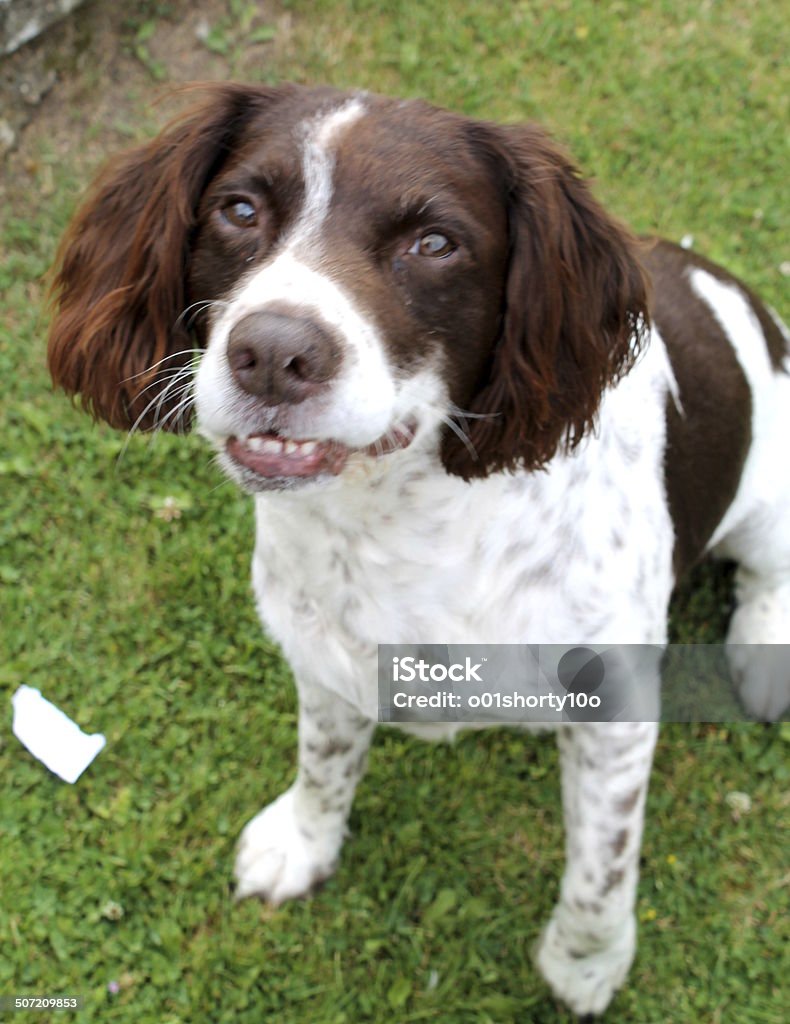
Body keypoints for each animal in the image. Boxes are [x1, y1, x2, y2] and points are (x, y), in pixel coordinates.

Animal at [49, 83, 790, 1011]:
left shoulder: (615, 708)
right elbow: (323, 763)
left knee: (768, 569)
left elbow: (601, 869)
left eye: (435, 243)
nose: (273, 353)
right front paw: (304, 845)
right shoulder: (322, 657)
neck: (401, 521)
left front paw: (584, 968)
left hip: (770, 492)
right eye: (239, 210)